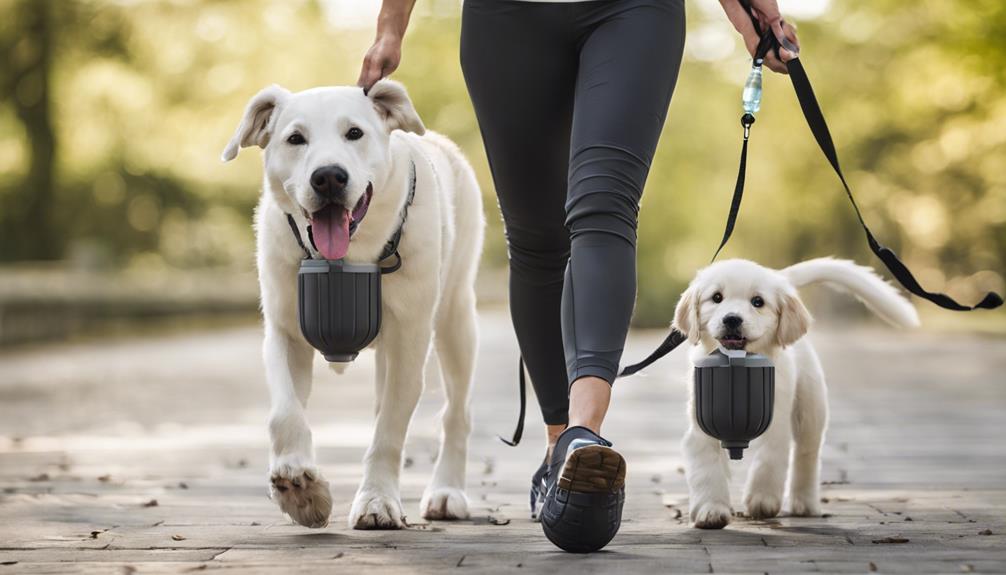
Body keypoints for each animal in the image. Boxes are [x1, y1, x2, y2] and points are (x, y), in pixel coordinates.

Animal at [221, 79, 486, 530]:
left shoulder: (410, 341)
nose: (328, 177)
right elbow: (284, 411)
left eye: (355, 133)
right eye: (295, 138)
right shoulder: (285, 330)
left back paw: (447, 491)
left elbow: (389, 430)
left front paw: (377, 500)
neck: (346, 258)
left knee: (456, 414)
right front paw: (299, 485)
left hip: (456, 319)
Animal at [676, 257, 921, 526]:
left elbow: (770, 457)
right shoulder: (702, 423)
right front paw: (710, 510)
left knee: (807, 456)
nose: (732, 319)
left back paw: (804, 503)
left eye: (758, 302)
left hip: (811, 411)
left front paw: (762, 499)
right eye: (717, 297)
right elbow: (706, 466)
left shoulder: (776, 419)